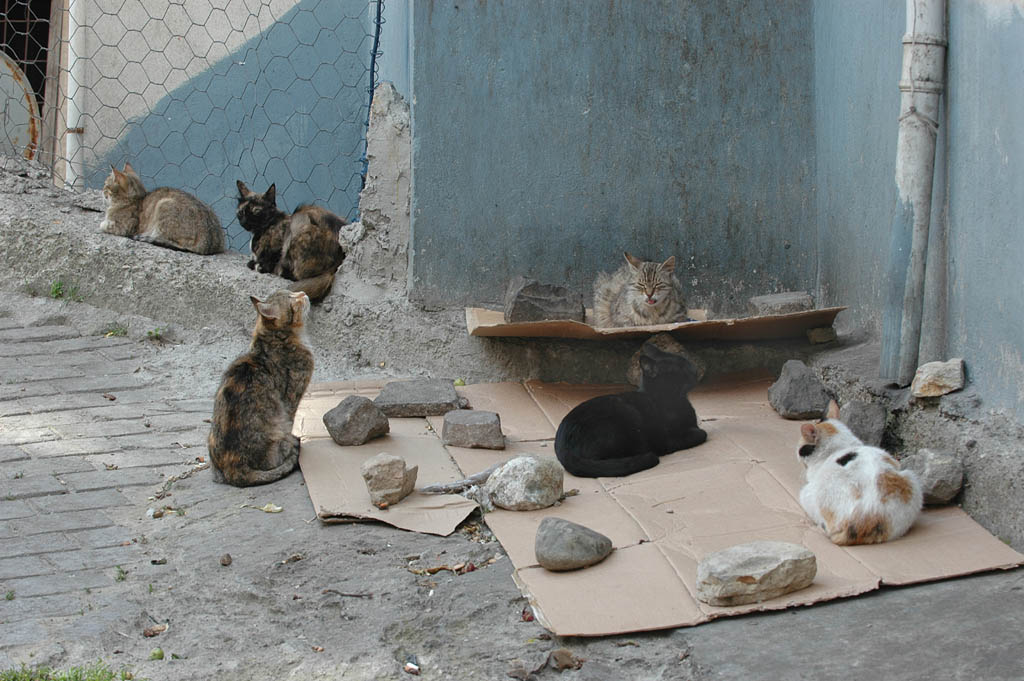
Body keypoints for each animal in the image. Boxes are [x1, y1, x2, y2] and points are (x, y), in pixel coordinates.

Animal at [208, 289, 314, 487]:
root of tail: (233, 468)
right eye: (292, 299)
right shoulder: (291, 399)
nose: (303, 292)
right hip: (279, 431)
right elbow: (292, 418)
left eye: (292, 292)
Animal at [554, 342, 707, 477]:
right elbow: (701, 433)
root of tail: (563, 448)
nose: (694, 369)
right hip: (627, 414)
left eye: (686, 362)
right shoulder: (668, 439)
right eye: (679, 370)